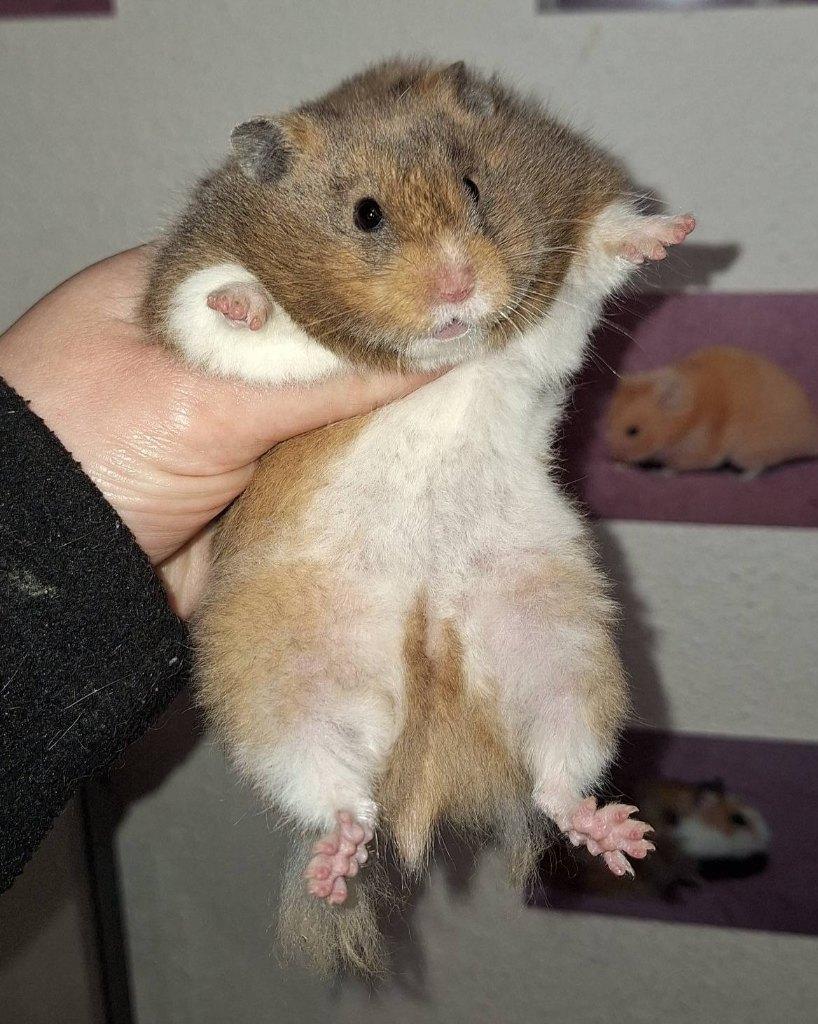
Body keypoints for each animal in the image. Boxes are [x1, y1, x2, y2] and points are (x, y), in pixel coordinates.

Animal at [140, 58, 695, 975]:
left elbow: (590, 254)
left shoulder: (547, 320)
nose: (459, 284)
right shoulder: (188, 310)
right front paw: (244, 300)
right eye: (367, 214)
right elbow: (225, 315)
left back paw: (620, 838)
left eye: (474, 187)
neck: (440, 354)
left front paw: (670, 230)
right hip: (271, 688)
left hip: (570, 652)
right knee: (332, 795)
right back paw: (337, 865)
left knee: (553, 777)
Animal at [606, 346, 818, 475]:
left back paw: (742, 478)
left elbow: (676, 465)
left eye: (633, 431)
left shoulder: (699, 450)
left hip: (747, 452)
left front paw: (661, 472)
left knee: (758, 466)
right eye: (608, 421)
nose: (613, 456)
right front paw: (620, 466)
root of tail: (809, 433)